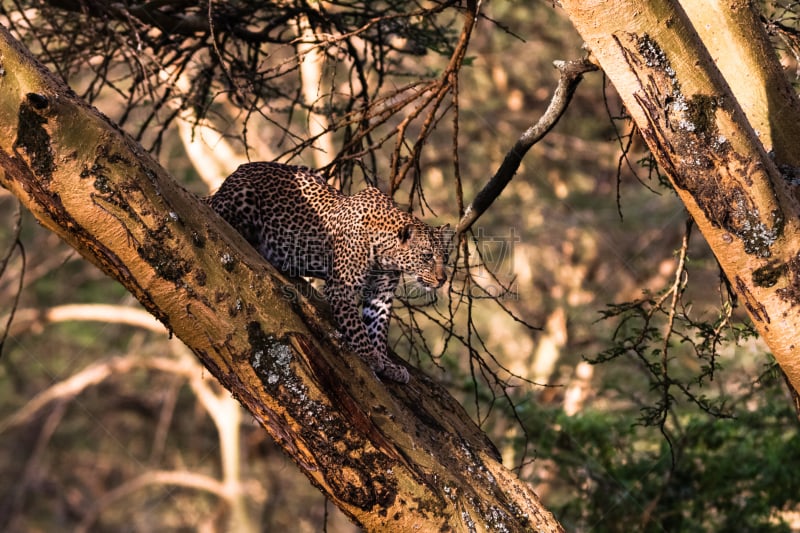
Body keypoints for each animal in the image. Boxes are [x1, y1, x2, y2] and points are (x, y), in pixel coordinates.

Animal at [206, 162, 450, 382]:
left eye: (445, 258)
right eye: (427, 256)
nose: (442, 279)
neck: (386, 254)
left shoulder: (381, 294)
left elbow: (377, 329)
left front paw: (387, 363)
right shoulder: (342, 287)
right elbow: (357, 328)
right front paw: (370, 356)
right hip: (242, 197)